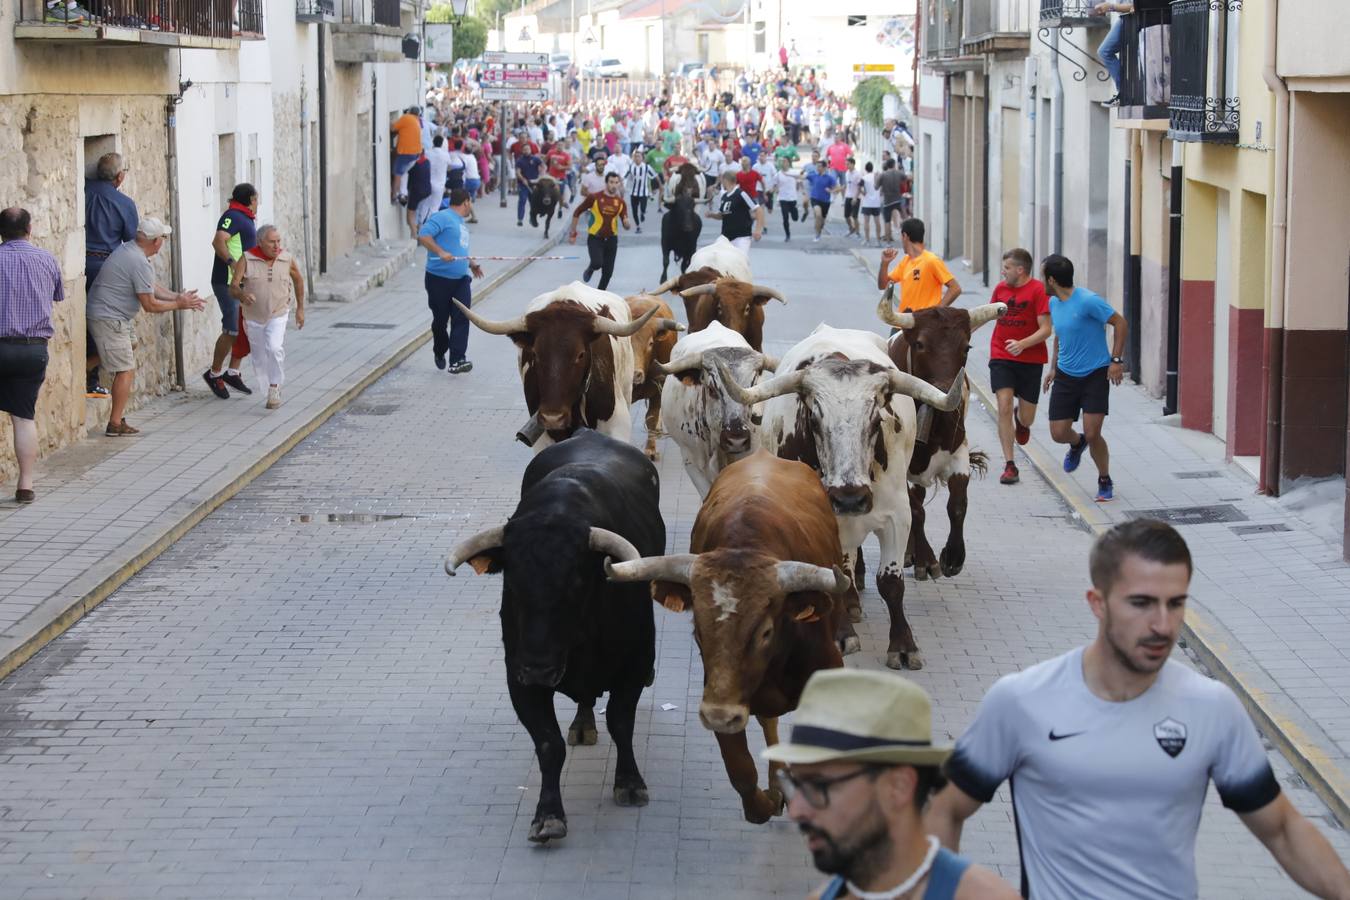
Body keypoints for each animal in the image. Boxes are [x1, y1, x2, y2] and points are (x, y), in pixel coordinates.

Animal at [445, 429, 661, 847]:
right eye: (512, 583)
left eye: (575, 582)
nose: (539, 668)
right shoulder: (518, 681)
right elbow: (549, 744)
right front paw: (547, 816)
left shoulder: (634, 665)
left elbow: (621, 722)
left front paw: (629, 783)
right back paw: (581, 725)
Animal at [610, 453, 847, 825]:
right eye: (698, 630)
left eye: (766, 631)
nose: (719, 715)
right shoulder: (720, 690)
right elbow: (741, 772)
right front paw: (767, 800)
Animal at [874, 292, 1004, 580]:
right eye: (920, 344)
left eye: (966, 347)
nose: (946, 391)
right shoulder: (899, 465)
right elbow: (916, 510)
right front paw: (927, 560)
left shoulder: (958, 453)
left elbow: (957, 504)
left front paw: (953, 556)